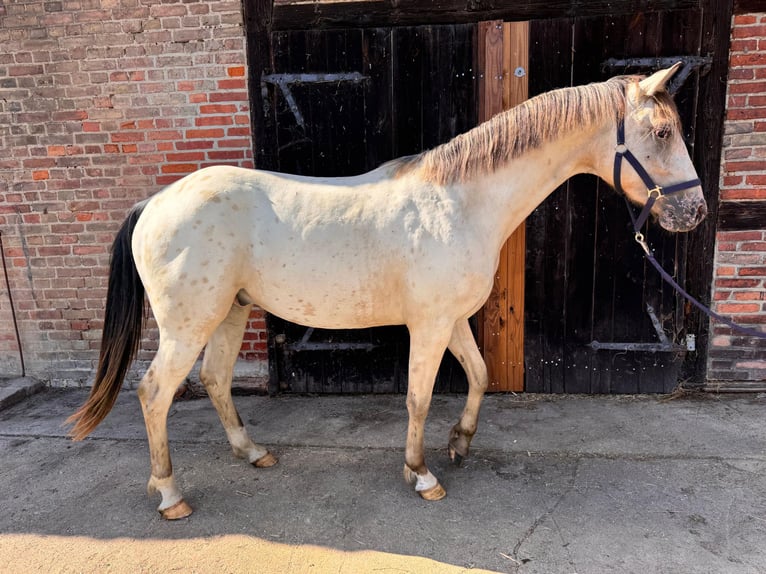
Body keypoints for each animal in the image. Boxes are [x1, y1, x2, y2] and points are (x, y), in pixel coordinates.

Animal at [68, 64, 707, 519]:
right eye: (662, 132)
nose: (695, 212)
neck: (462, 203)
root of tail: (154, 203)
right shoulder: (429, 325)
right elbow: (418, 398)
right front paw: (421, 475)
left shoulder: (453, 320)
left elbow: (479, 376)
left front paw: (460, 443)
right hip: (190, 325)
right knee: (154, 393)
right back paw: (170, 494)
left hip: (229, 314)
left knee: (217, 381)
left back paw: (253, 454)